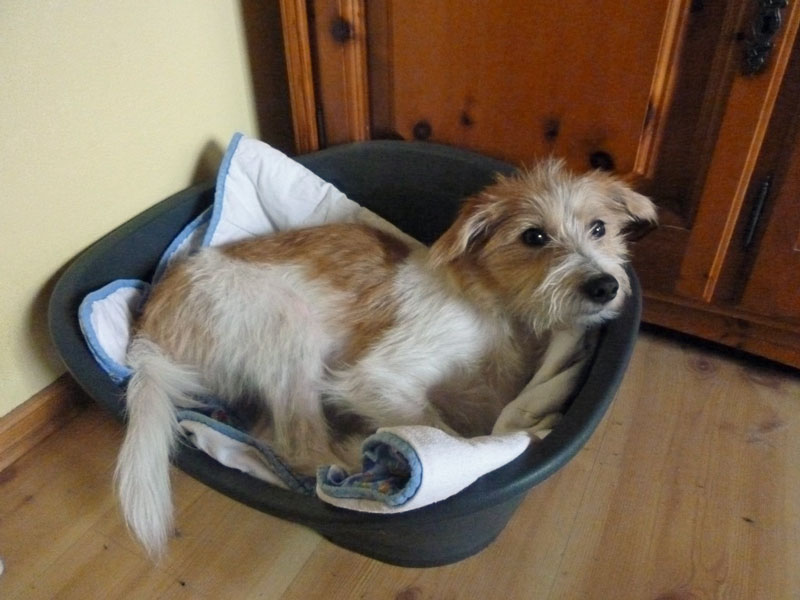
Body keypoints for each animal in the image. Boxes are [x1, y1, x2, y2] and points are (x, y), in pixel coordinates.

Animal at [115, 158, 656, 558]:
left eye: (600, 228)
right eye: (534, 237)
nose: (605, 287)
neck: (493, 304)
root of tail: (146, 337)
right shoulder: (377, 376)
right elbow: (443, 432)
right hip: (289, 324)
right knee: (295, 444)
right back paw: (360, 461)